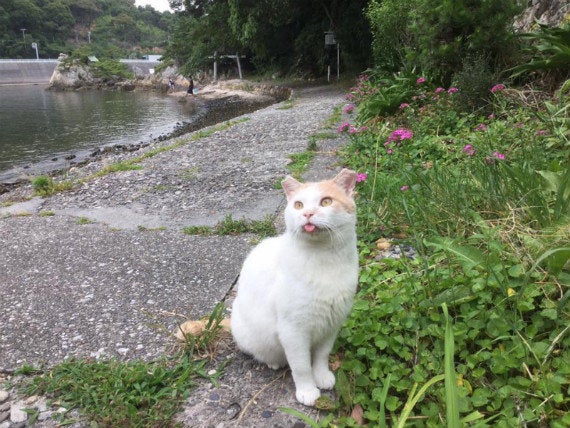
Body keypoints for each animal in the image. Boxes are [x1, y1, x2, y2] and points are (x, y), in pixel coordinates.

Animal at [230, 167, 356, 404]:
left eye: (326, 201)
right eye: (298, 205)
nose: (307, 214)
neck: (324, 260)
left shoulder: (331, 325)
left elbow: (321, 357)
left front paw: (322, 376)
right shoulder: (293, 331)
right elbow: (302, 366)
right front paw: (307, 391)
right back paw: (273, 361)